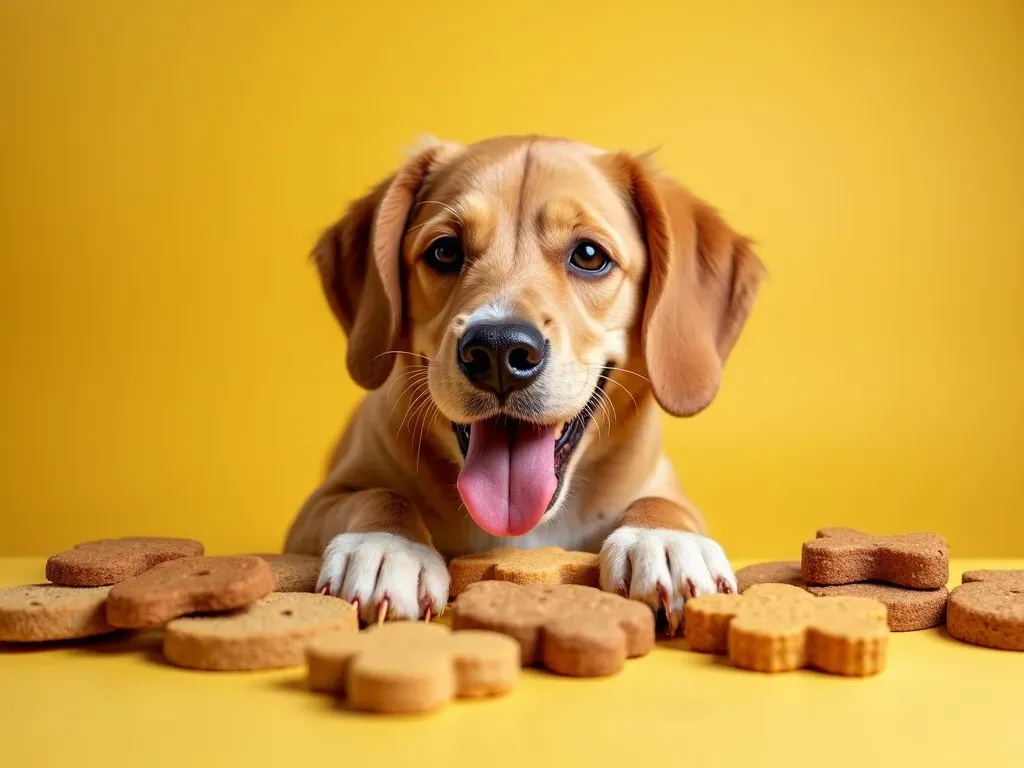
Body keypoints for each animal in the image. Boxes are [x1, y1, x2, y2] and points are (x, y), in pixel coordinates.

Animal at [284, 135, 765, 634]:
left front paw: (665, 539)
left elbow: (665, 503)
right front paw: (384, 545)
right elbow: (381, 493)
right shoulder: (310, 513)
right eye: (444, 251)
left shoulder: (664, 484)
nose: (496, 351)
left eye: (589, 256)